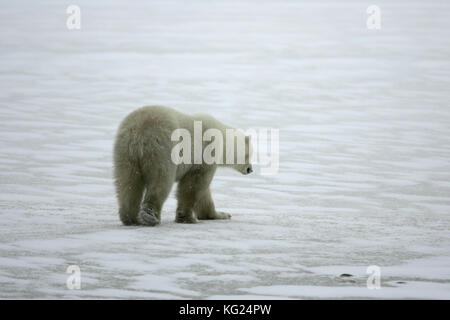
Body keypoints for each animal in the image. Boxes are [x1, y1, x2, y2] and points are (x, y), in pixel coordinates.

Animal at [112, 106, 253, 226]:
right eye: (249, 154)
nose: (250, 169)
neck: (222, 138)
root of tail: (139, 132)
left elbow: (203, 192)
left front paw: (220, 214)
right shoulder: (205, 152)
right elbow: (194, 184)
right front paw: (188, 218)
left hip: (125, 152)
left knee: (128, 182)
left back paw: (130, 218)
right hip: (162, 148)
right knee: (161, 180)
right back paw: (150, 216)